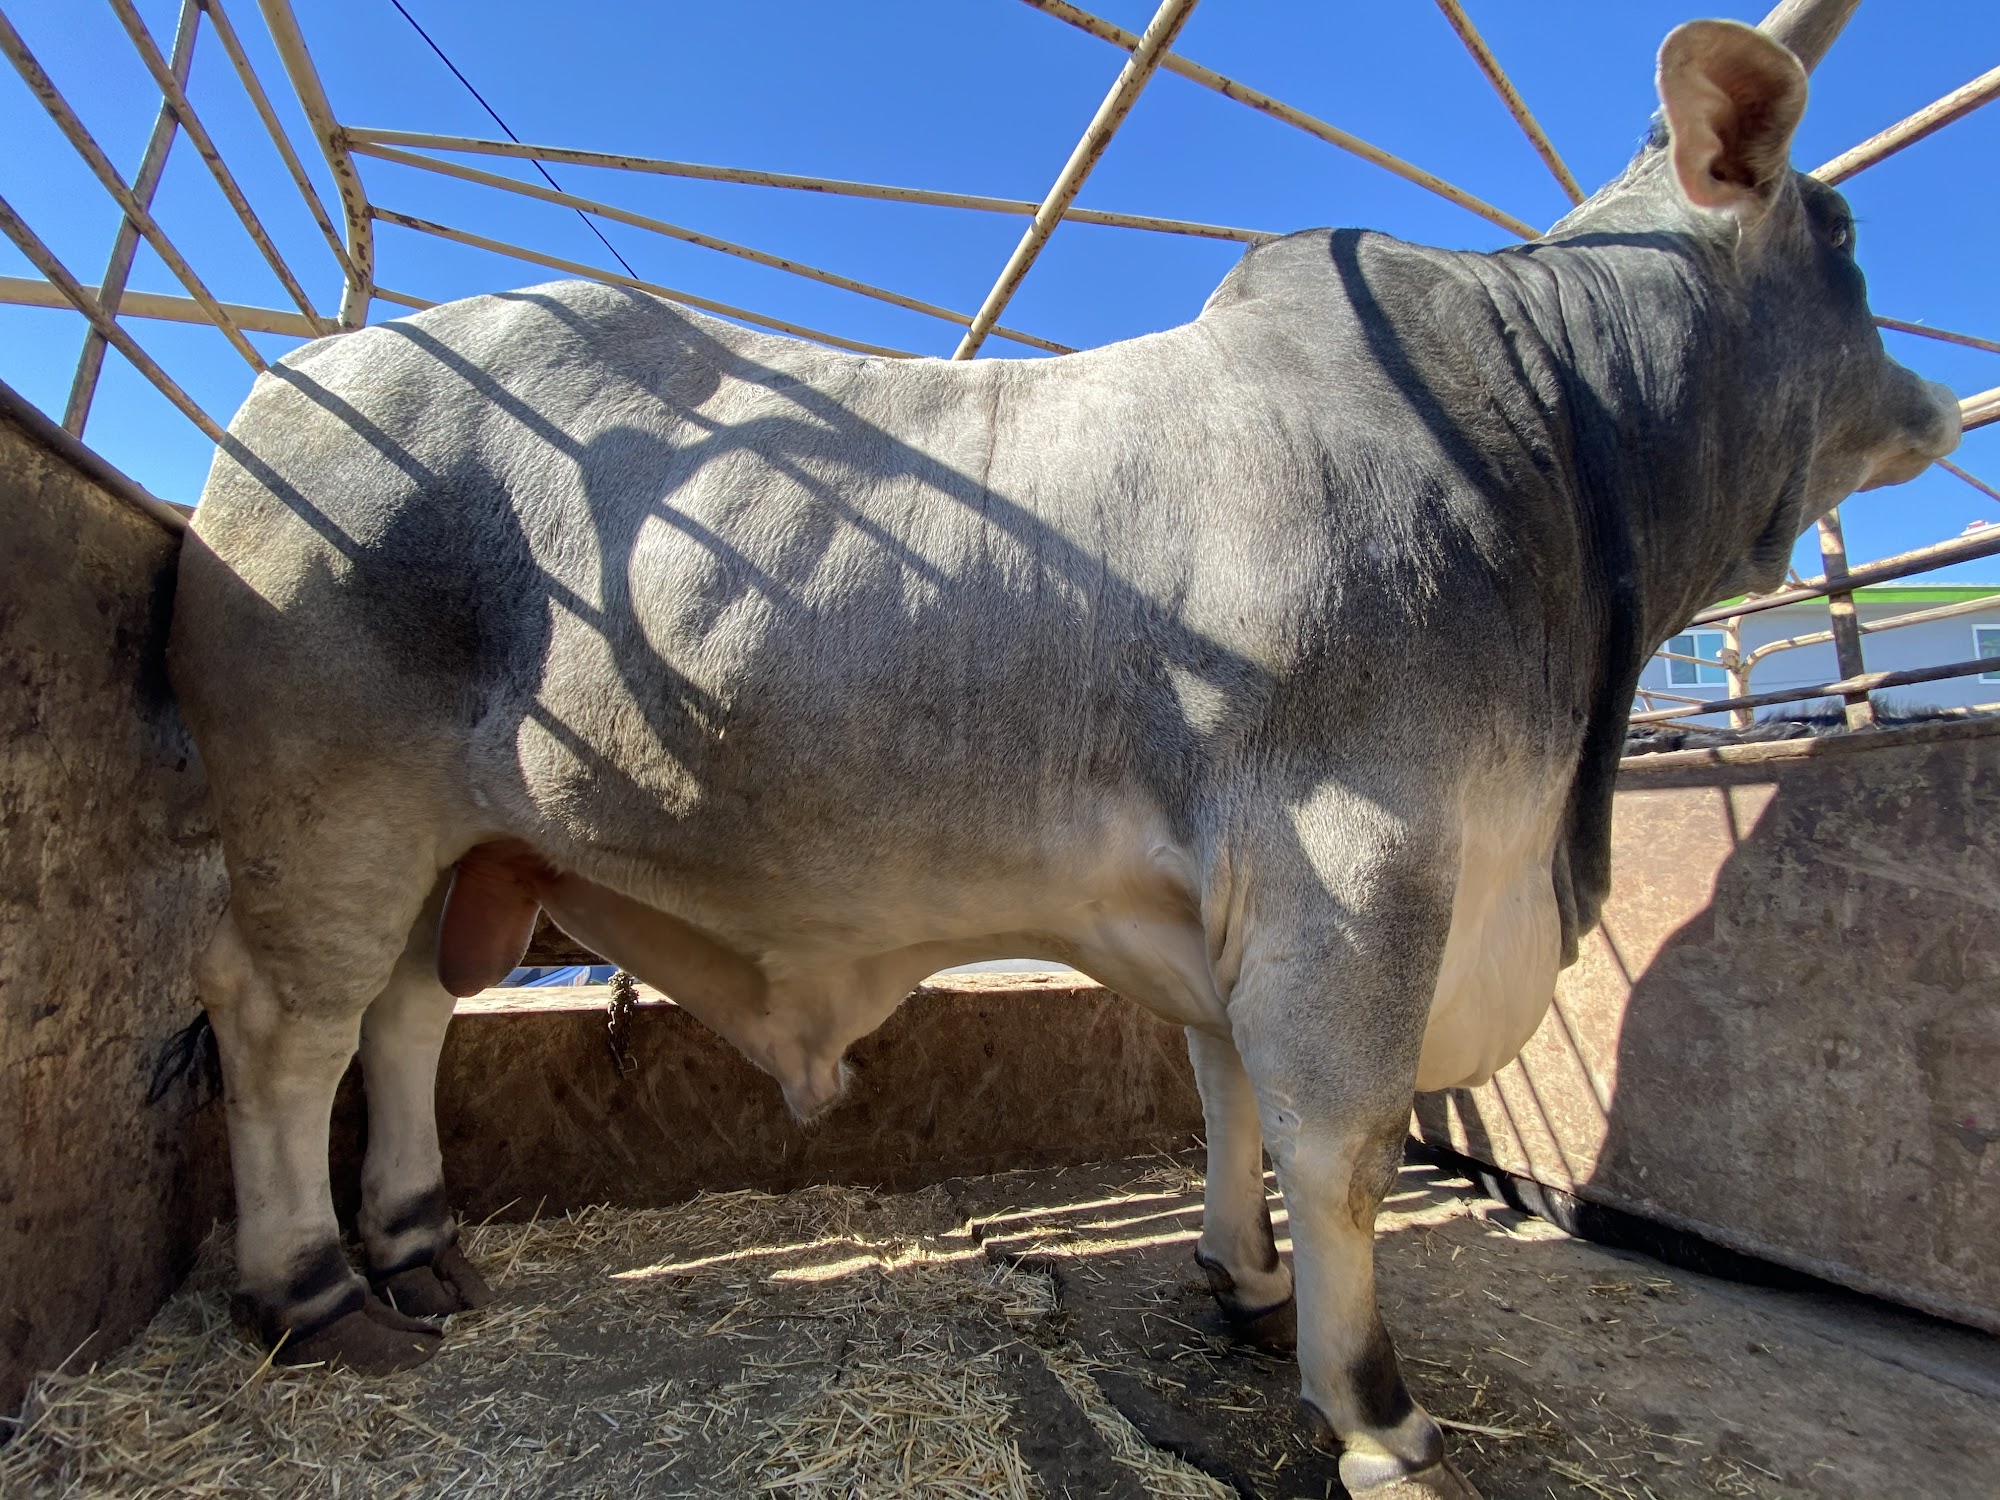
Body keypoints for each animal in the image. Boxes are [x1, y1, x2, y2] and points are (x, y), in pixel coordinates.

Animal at [167, 8, 1957, 1496]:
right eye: (1844, 232)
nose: (1936, 402)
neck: (1550, 450)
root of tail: (313, 362)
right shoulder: (1363, 865)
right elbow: (1341, 1140)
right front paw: (1375, 1414)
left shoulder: (1238, 908)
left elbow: (1226, 1096)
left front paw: (1245, 1280)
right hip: (327, 810)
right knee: (281, 1022)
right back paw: (317, 1294)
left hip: (462, 845)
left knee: (401, 1016)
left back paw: (420, 1247)